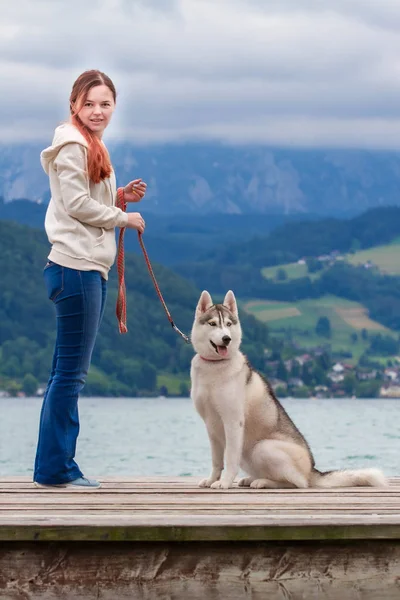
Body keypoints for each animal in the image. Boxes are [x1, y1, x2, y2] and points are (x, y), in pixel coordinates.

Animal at [191, 292, 388, 492]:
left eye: (229, 324)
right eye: (213, 324)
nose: (226, 339)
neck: (214, 366)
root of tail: (311, 471)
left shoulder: (233, 422)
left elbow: (230, 459)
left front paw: (224, 482)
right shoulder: (211, 426)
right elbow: (217, 461)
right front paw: (211, 479)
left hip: (263, 448)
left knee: (297, 483)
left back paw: (265, 482)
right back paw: (253, 478)